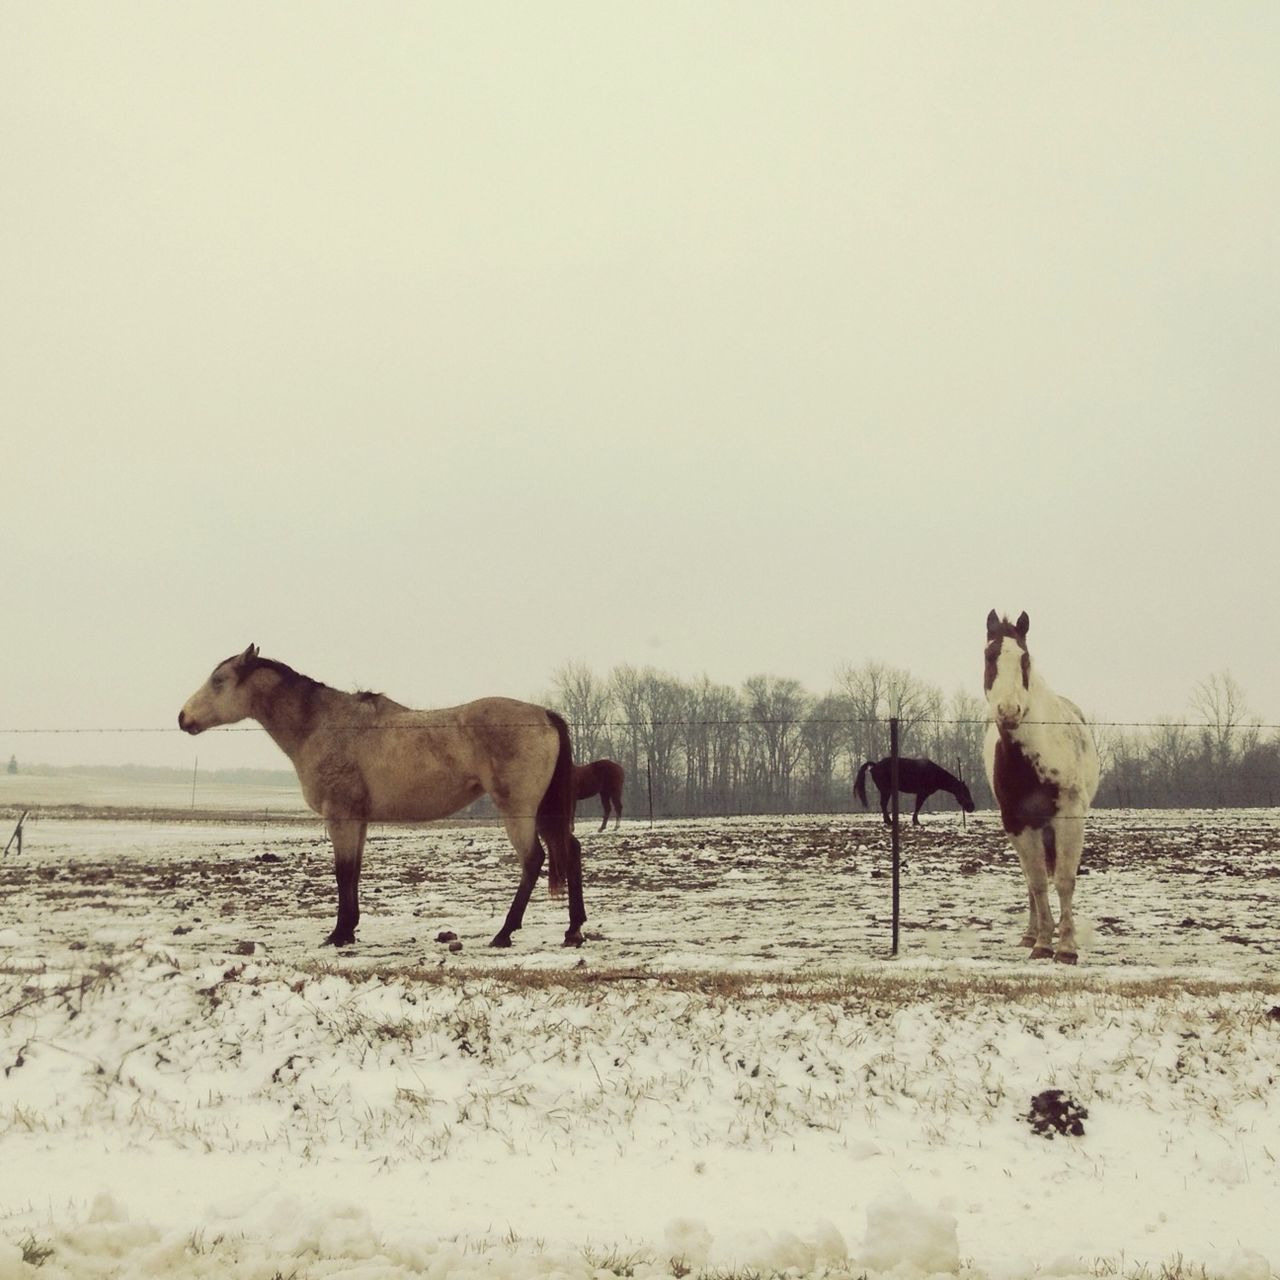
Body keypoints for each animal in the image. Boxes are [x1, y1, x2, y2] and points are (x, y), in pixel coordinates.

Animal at [176, 645, 586, 947]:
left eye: (219, 680)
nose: (183, 718)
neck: (324, 726)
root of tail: (545, 715)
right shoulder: (358, 820)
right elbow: (354, 871)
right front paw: (349, 929)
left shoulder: (340, 817)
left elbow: (342, 872)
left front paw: (338, 934)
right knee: (570, 849)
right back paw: (573, 930)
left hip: (518, 811)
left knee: (533, 860)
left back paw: (504, 933)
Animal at [977, 609, 1100, 962]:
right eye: (989, 655)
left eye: (1025, 659)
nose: (1008, 711)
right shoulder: (1017, 823)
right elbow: (1037, 883)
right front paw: (1043, 943)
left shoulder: (1069, 818)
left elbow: (1064, 880)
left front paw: (1067, 948)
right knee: (1032, 880)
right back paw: (1031, 934)